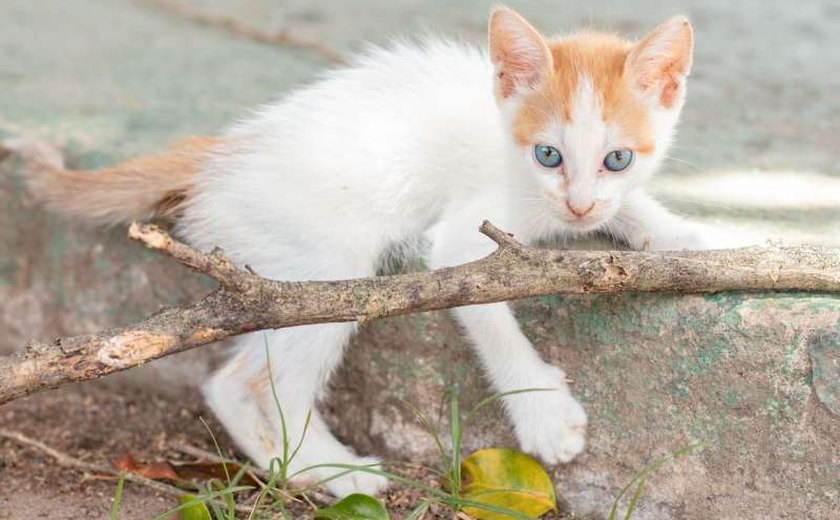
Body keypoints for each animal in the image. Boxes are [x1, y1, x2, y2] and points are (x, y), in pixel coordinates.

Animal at [3, 7, 704, 496]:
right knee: (266, 382)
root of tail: (219, 155)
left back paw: (294, 467)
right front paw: (545, 416)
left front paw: (678, 233)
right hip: (325, 268)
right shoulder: (461, 240)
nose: (579, 207)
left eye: (617, 159)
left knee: (232, 382)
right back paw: (337, 472)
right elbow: (491, 319)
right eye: (548, 154)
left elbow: (631, 207)